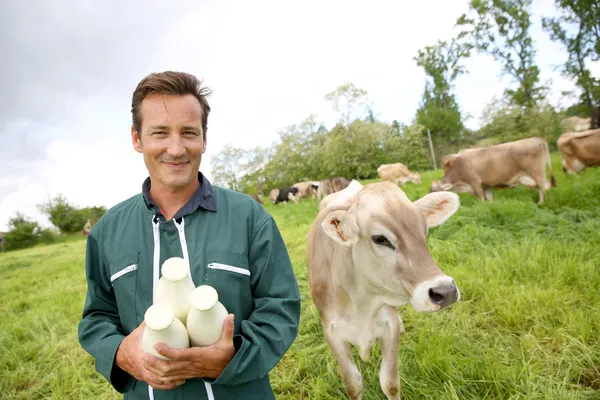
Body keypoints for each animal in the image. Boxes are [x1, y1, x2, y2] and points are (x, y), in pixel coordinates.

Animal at [428, 138, 556, 206]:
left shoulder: (475, 182)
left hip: (537, 173)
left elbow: (481, 199)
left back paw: (541, 204)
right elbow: (489, 199)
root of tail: (537, 139)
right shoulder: (485, 185)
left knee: (543, 188)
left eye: (434, 192)